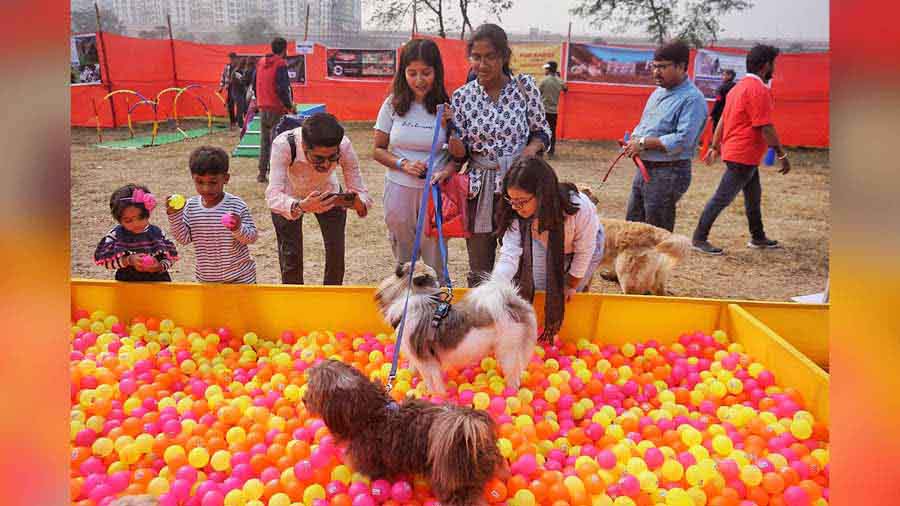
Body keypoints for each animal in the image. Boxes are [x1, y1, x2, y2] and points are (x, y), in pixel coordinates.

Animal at [372, 262, 536, 398]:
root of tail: (513, 302)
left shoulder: (427, 363)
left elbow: (433, 384)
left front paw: (437, 397)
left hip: (509, 350)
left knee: (514, 377)